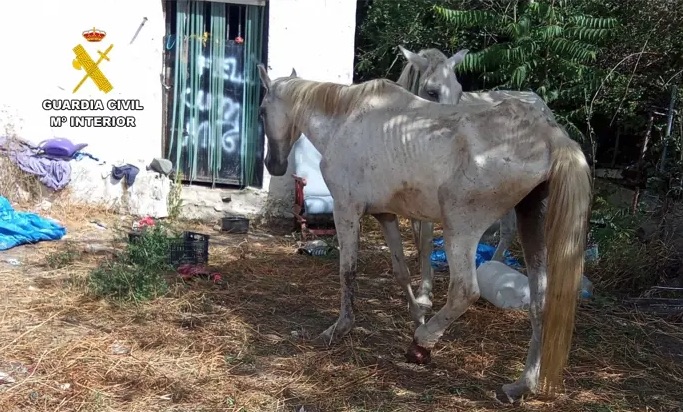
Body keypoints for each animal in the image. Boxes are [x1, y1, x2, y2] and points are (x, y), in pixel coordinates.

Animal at [256, 65, 592, 401]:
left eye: (261, 111)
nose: (273, 165)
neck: (347, 117)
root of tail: (549, 137)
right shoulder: (385, 215)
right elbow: (401, 271)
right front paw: (417, 312)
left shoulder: (346, 209)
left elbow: (347, 270)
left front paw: (341, 328)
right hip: (531, 226)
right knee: (540, 302)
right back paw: (521, 385)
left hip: (460, 228)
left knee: (464, 291)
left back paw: (422, 342)